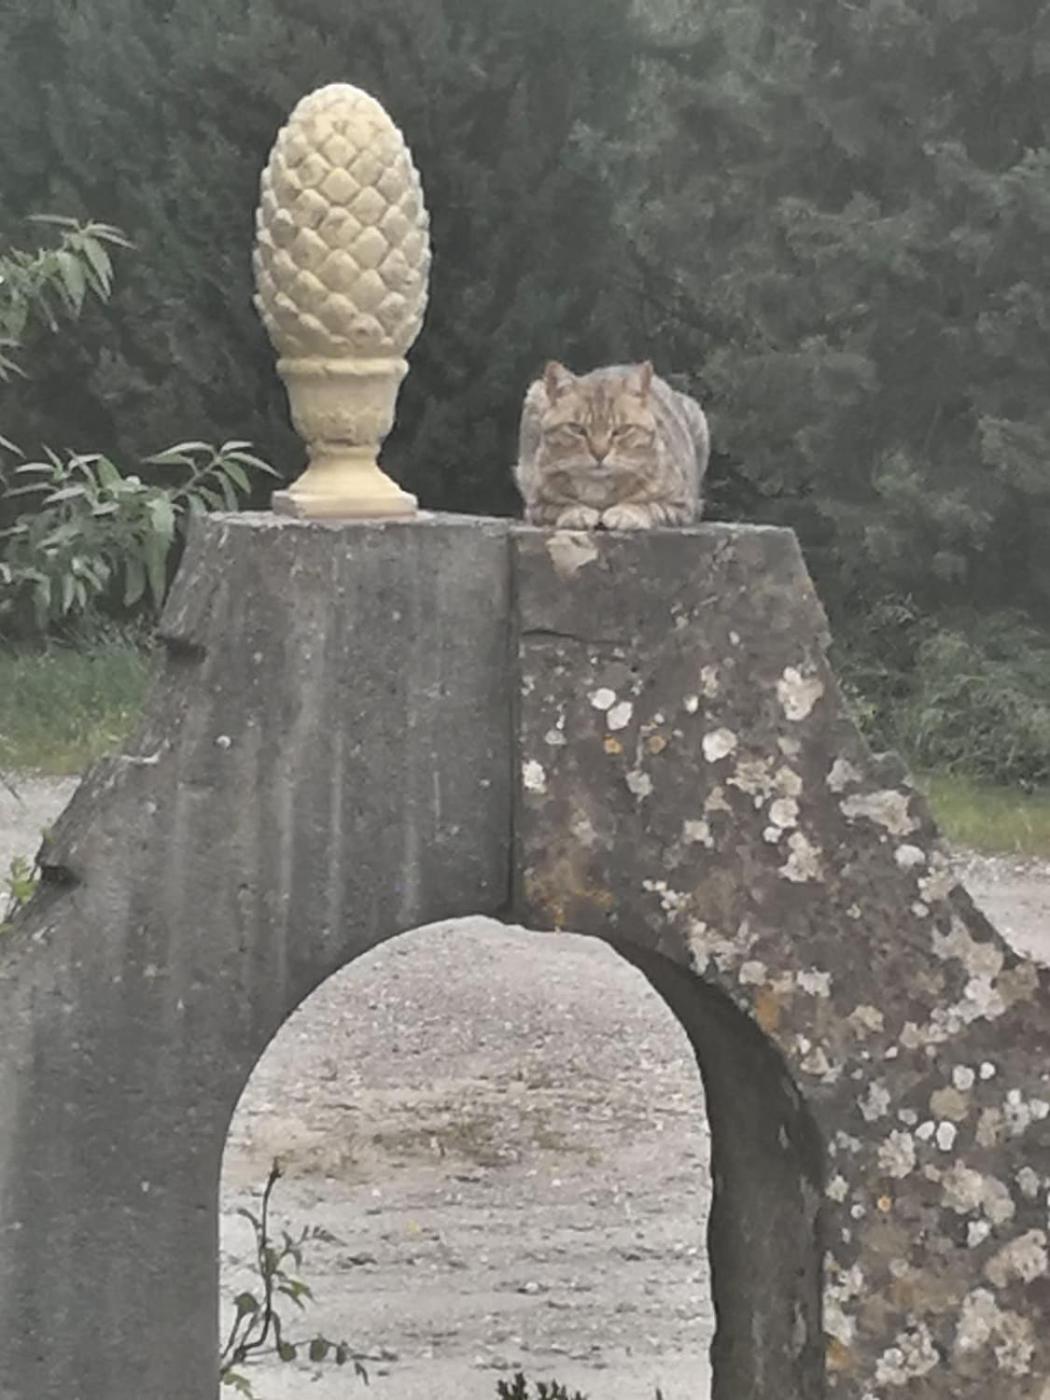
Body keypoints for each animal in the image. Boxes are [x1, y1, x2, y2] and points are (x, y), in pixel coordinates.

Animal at [513, 360, 710, 530]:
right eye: (577, 429)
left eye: (622, 430)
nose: (599, 453)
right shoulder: (535, 505)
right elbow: (558, 507)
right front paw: (576, 512)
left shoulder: (683, 505)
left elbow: (651, 505)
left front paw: (626, 513)